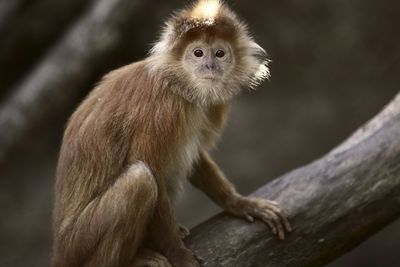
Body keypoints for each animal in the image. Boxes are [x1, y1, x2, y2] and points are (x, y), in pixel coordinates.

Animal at [52, 1, 290, 266]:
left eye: (219, 53)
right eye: (198, 53)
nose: (210, 66)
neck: (178, 84)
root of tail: (60, 252)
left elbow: (195, 154)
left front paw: (240, 204)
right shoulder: (163, 109)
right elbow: (152, 170)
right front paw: (179, 255)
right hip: (81, 243)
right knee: (140, 180)